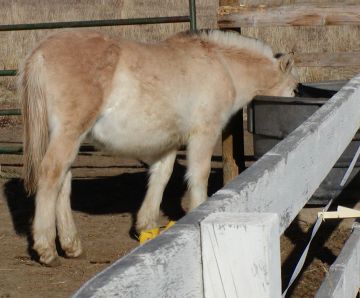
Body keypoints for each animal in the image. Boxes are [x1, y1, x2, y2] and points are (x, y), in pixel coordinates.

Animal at [18, 28, 296, 266]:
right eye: (294, 90)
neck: (221, 65)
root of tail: (41, 51)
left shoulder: (169, 141)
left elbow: (161, 176)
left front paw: (146, 225)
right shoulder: (204, 133)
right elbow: (199, 176)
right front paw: (197, 212)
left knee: (63, 182)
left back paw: (71, 245)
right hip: (69, 133)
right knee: (51, 175)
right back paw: (47, 249)